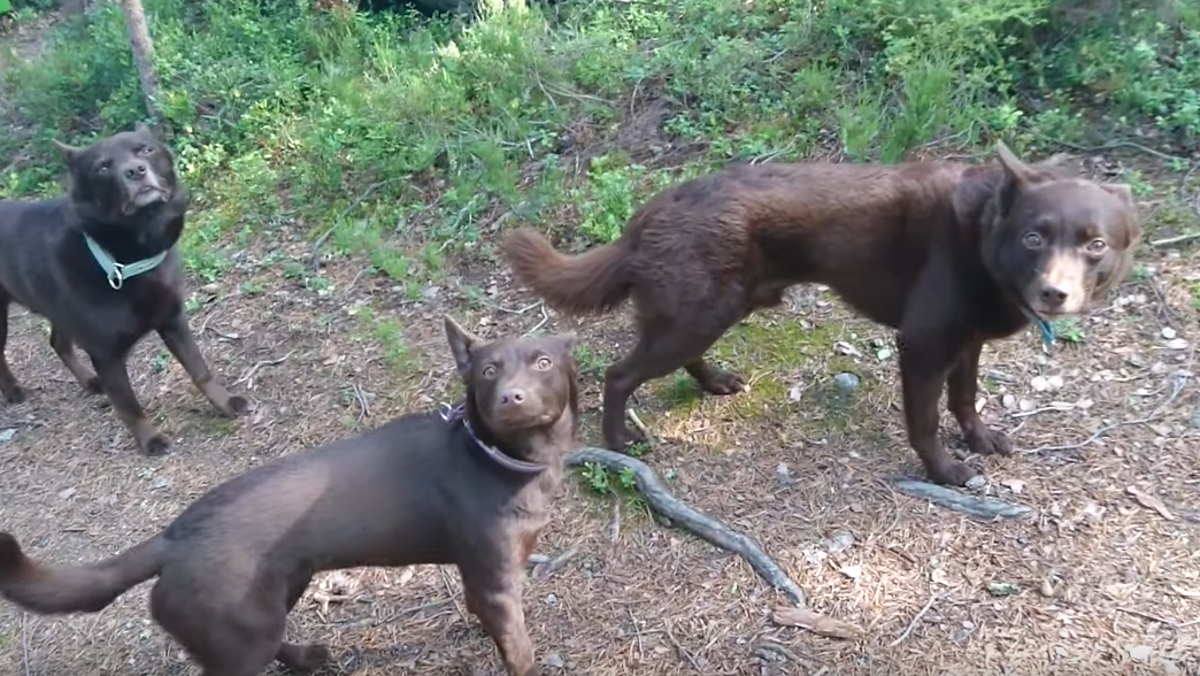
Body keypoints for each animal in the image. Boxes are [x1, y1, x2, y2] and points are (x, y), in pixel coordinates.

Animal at [0, 124, 247, 458]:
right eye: (102, 167)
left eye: (145, 150)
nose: (135, 171)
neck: (127, 259)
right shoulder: (105, 353)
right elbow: (129, 405)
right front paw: (149, 440)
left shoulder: (173, 321)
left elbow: (200, 369)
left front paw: (224, 402)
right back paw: (13, 390)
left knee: (58, 342)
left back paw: (89, 382)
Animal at [0, 316, 580, 676]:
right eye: (488, 371)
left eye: (543, 363)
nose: (511, 398)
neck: (499, 457)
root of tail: (171, 538)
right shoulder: (497, 579)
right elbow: (519, 648)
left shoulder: (483, 572)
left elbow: (488, 621)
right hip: (241, 633)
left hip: (274, 597)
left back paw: (308, 658)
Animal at [506, 142, 1142, 487]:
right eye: (1035, 237)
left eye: (1095, 245)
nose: (1055, 294)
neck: (982, 235)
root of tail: (647, 214)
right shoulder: (923, 344)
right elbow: (925, 421)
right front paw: (944, 472)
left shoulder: (967, 343)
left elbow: (965, 399)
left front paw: (981, 438)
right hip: (697, 316)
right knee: (619, 375)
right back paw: (620, 441)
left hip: (710, 312)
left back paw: (715, 382)